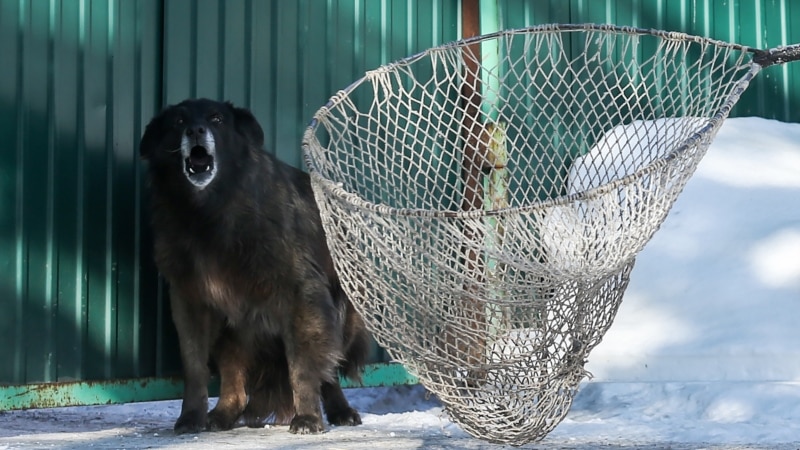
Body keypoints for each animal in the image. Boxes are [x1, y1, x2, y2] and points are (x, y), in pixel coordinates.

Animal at [140, 99, 372, 436]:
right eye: (179, 121)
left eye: (217, 119)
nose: (195, 130)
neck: (208, 214)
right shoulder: (190, 300)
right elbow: (194, 367)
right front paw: (191, 417)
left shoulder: (302, 295)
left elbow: (303, 367)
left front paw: (308, 418)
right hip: (234, 331)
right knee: (234, 382)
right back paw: (221, 414)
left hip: (340, 315)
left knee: (328, 367)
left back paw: (341, 410)